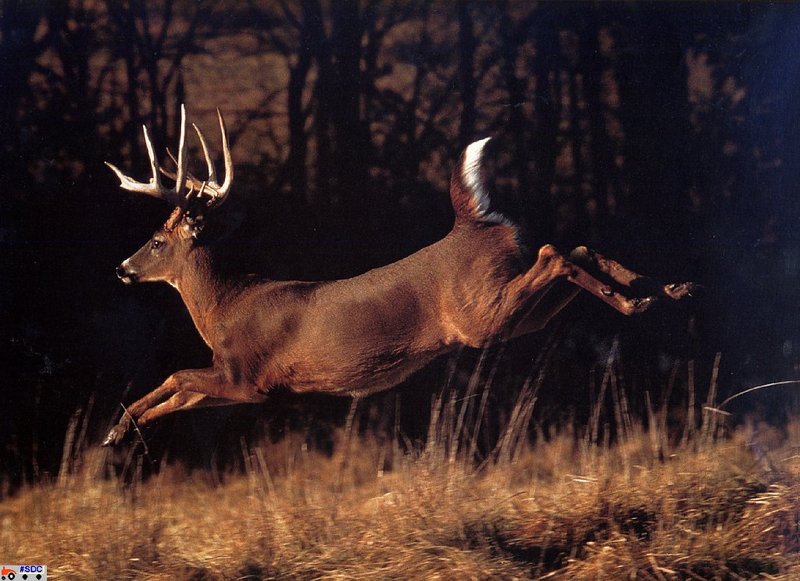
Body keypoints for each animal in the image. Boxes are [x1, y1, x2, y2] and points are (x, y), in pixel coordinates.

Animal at [101, 106, 700, 446]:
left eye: (156, 241)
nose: (122, 268)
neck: (224, 307)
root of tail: (471, 222)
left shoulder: (249, 376)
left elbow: (176, 376)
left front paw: (117, 426)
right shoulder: (248, 387)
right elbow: (178, 391)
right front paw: (121, 430)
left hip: (482, 314)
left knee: (555, 251)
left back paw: (642, 299)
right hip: (512, 315)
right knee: (574, 247)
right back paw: (662, 290)